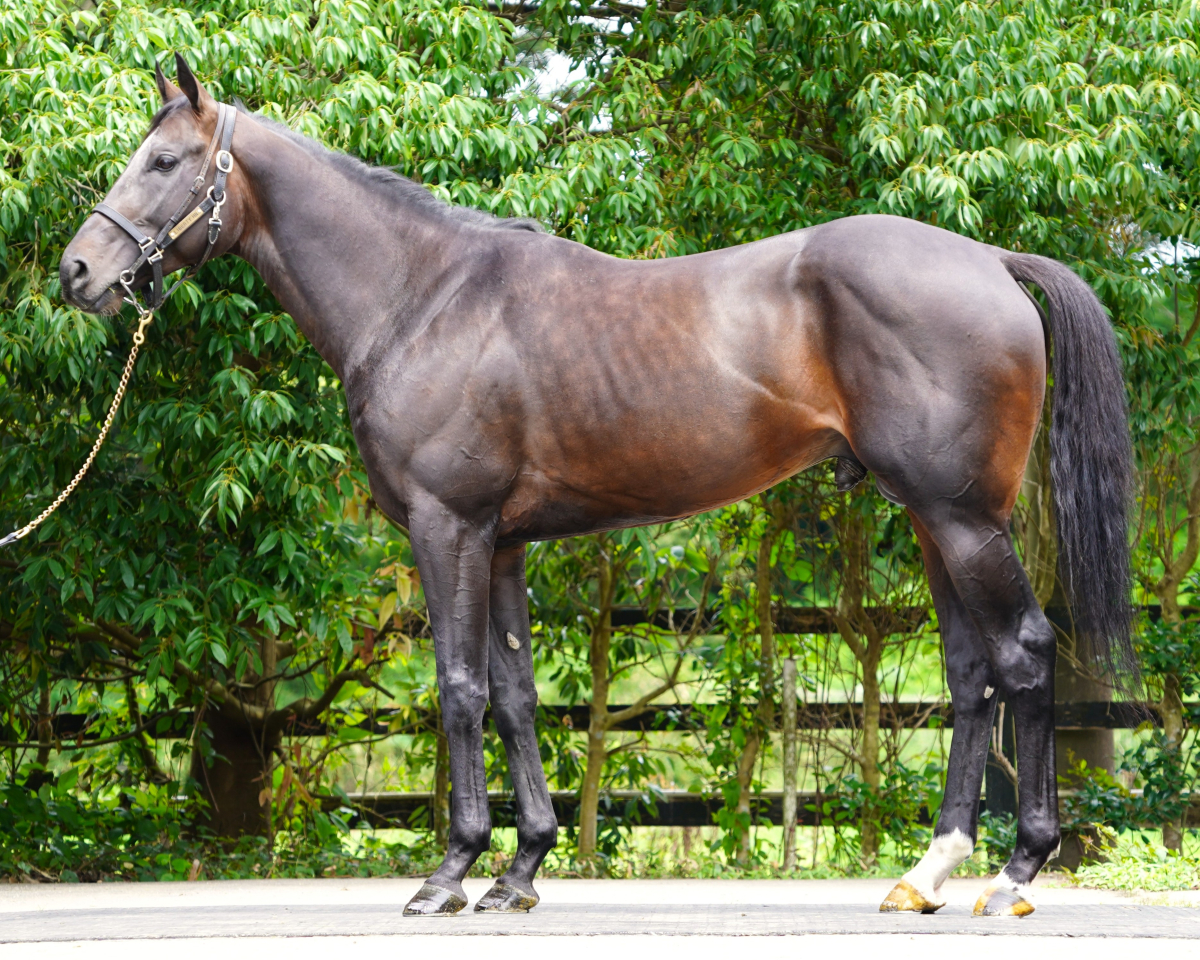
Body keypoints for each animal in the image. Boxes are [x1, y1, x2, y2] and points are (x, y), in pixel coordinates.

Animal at [60, 55, 1132, 918]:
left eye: (164, 163)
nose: (77, 272)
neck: (422, 296)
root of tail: (987, 258)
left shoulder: (446, 528)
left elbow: (458, 689)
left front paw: (448, 874)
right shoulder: (499, 542)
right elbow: (516, 695)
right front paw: (518, 872)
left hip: (963, 520)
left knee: (1025, 655)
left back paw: (1014, 875)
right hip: (934, 521)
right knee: (970, 674)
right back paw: (928, 874)